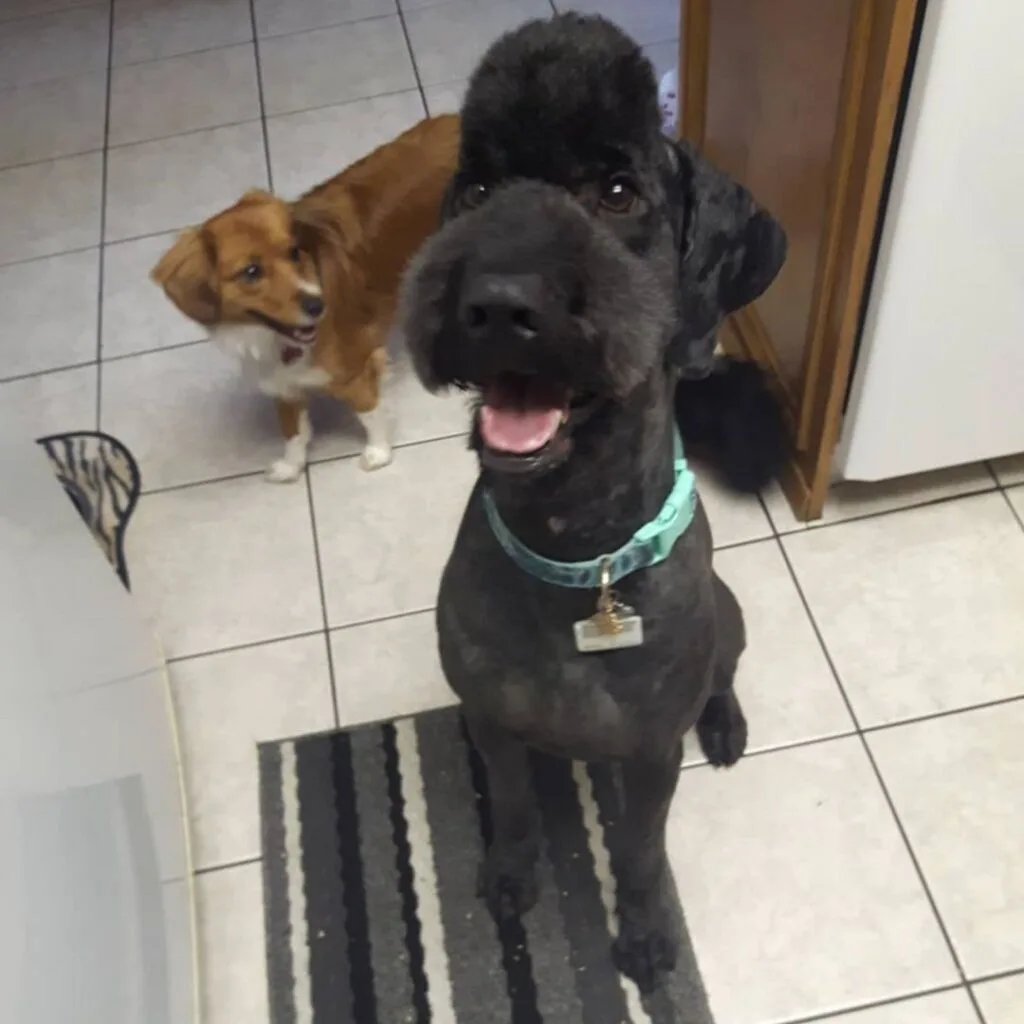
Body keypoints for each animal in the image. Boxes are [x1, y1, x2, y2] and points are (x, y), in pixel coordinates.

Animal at [149, 114, 458, 481]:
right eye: (251, 272)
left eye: (294, 252)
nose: (317, 306)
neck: (270, 337)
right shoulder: (281, 383)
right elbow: (293, 431)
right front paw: (291, 466)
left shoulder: (355, 370)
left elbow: (369, 412)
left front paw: (378, 452)